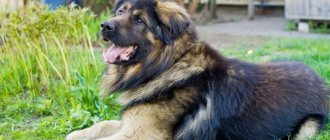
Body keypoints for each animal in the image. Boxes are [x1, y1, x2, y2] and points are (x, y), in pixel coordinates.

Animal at [66, 0, 328, 139]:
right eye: (121, 12)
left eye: (139, 20)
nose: (104, 26)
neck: (166, 66)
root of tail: (321, 81)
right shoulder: (132, 123)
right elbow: (102, 125)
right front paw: (76, 134)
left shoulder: (143, 132)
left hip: (308, 127)